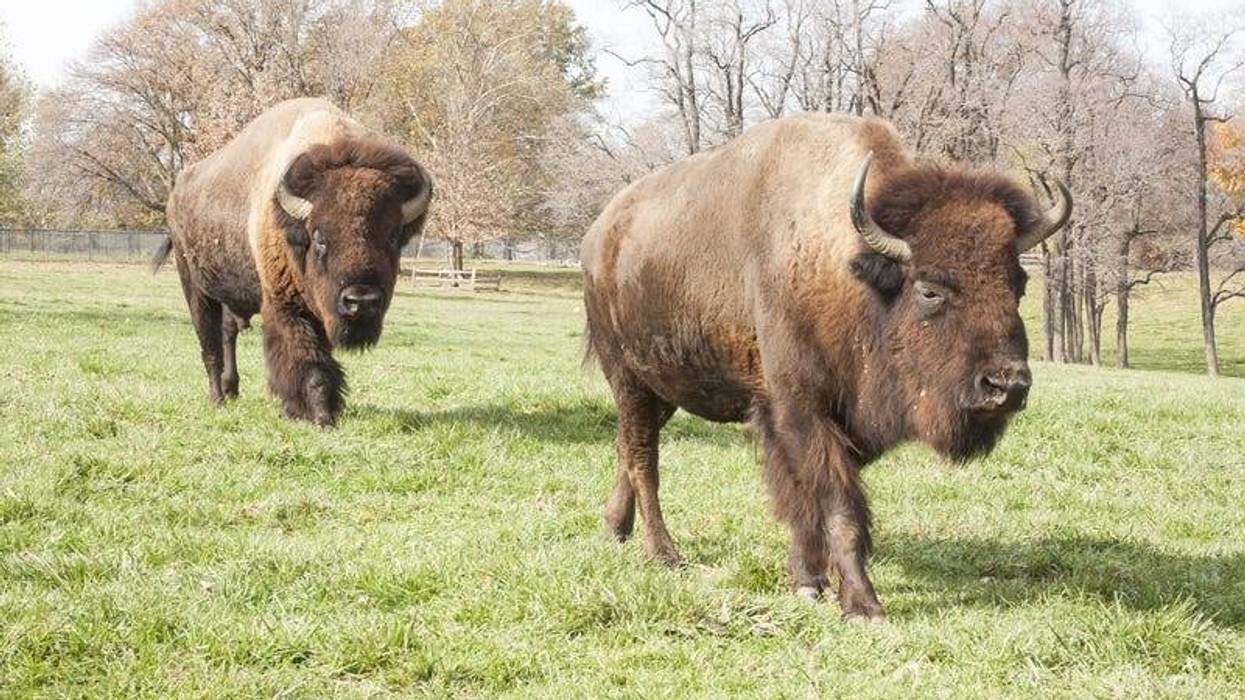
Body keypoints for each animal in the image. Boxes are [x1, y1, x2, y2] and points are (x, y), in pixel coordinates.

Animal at [155, 98, 433, 425]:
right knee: (209, 345)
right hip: (195, 287)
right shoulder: (286, 305)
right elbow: (308, 362)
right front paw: (319, 416)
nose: (361, 301)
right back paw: (217, 399)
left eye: (393, 237)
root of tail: (176, 194)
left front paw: (321, 410)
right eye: (320, 237)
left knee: (227, 333)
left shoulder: (322, 311)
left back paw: (231, 389)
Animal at [581, 114, 1070, 618]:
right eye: (929, 289)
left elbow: (806, 500)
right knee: (643, 459)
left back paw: (615, 529)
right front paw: (863, 604)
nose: (1006, 385)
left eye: (1019, 283)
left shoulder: (826, 423)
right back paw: (664, 553)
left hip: (663, 390)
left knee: (626, 449)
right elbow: (837, 505)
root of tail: (599, 235)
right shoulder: (801, 409)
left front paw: (808, 581)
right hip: (629, 379)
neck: (848, 271)